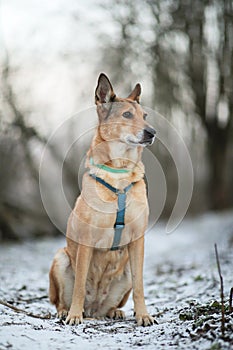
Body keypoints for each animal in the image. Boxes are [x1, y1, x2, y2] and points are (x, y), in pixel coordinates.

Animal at [48, 72, 156, 326]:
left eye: (145, 116)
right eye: (126, 115)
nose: (152, 133)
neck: (119, 172)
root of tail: (94, 308)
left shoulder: (138, 240)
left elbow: (140, 285)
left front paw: (143, 315)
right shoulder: (86, 241)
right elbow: (79, 285)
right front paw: (74, 316)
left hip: (124, 274)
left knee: (117, 300)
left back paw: (115, 311)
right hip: (60, 258)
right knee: (60, 300)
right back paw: (66, 311)